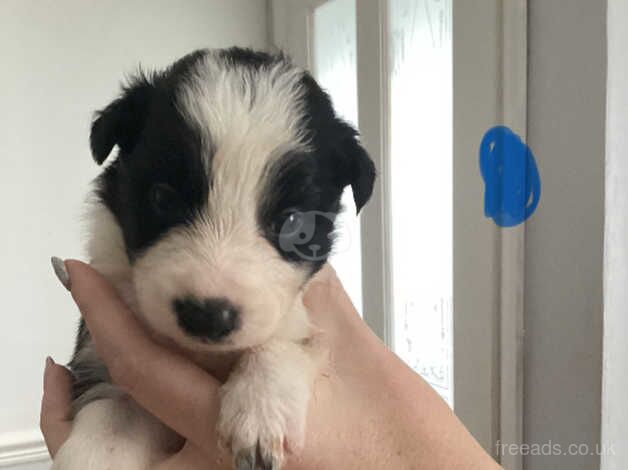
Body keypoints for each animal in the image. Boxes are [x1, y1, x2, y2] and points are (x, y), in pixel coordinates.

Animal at [52, 48, 372, 470]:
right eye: (164, 197)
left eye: (294, 224)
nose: (207, 316)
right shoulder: (101, 357)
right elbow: (113, 412)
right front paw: (94, 453)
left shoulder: (309, 325)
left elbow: (291, 342)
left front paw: (259, 411)